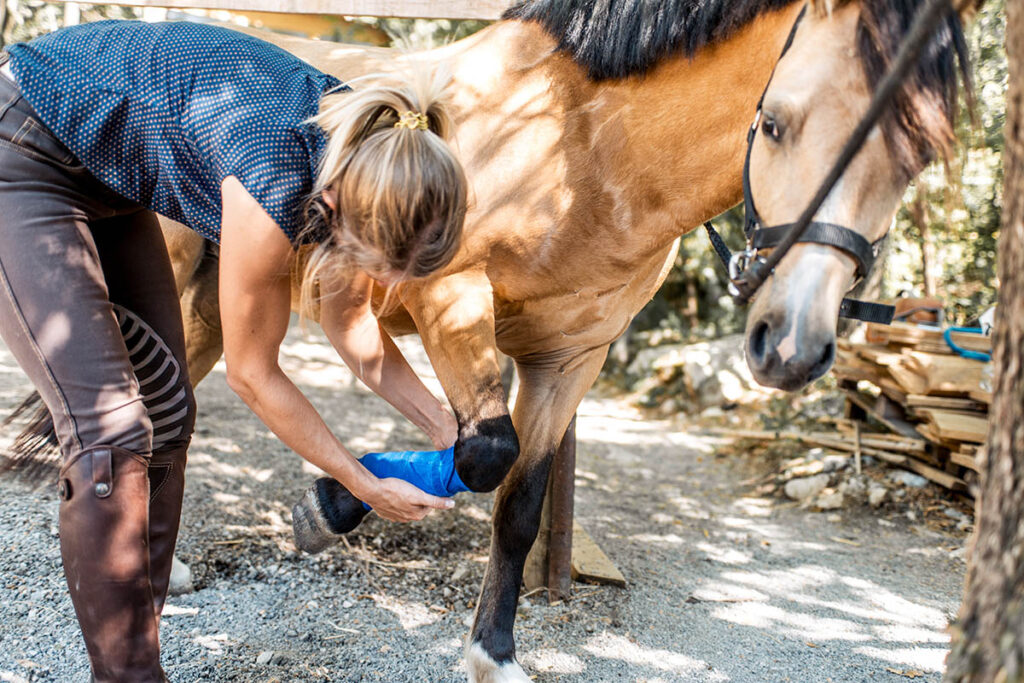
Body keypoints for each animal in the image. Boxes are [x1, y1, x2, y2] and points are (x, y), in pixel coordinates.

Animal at [6, 1, 966, 683]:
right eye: (775, 124)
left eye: (916, 155)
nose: (789, 346)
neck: (577, 148)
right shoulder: (448, 296)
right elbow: (483, 452)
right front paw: (333, 504)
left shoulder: (572, 357)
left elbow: (517, 496)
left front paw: (493, 649)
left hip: (207, 300)